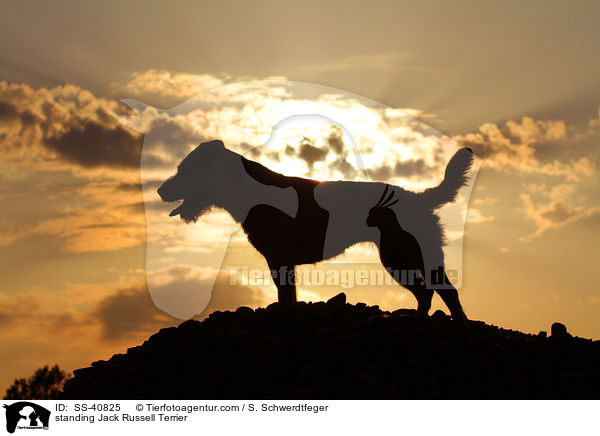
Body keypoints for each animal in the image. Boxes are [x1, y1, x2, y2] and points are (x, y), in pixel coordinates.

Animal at [158, 140, 474, 320]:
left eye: (185, 170)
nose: (160, 190)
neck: (250, 191)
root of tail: (419, 198)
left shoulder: (280, 261)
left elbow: (286, 298)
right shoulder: (281, 262)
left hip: (400, 258)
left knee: (440, 292)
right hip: (409, 259)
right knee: (432, 293)